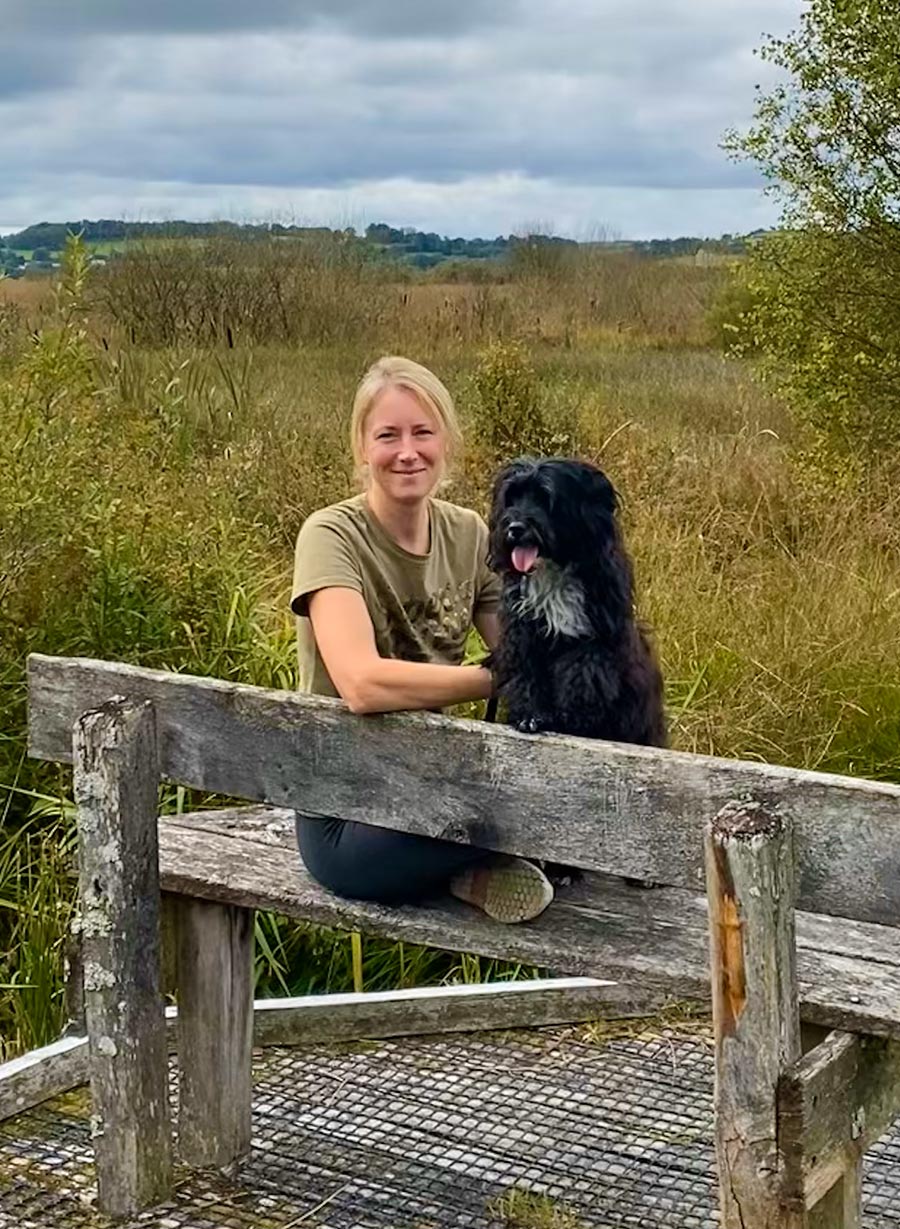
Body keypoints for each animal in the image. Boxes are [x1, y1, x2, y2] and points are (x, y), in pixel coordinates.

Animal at [484, 454, 668, 747]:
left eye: (544, 498)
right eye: (512, 497)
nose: (515, 528)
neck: (553, 571)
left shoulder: (593, 640)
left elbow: (583, 677)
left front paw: (572, 721)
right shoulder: (523, 635)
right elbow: (527, 676)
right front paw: (530, 715)